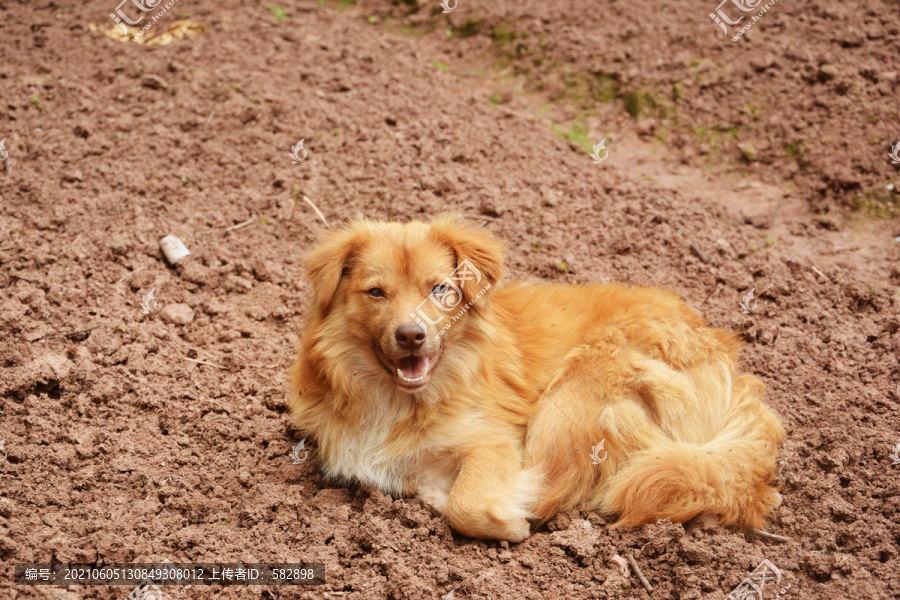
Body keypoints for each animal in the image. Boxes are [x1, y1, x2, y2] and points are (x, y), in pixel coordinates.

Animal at [286, 214, 780, 540]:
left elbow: (469, 504)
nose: (411, 334)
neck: (395, 398)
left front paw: (504, 517)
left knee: (556, 486)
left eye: (439, 289)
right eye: (376, 292)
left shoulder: (493, 440)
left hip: (575, 391)